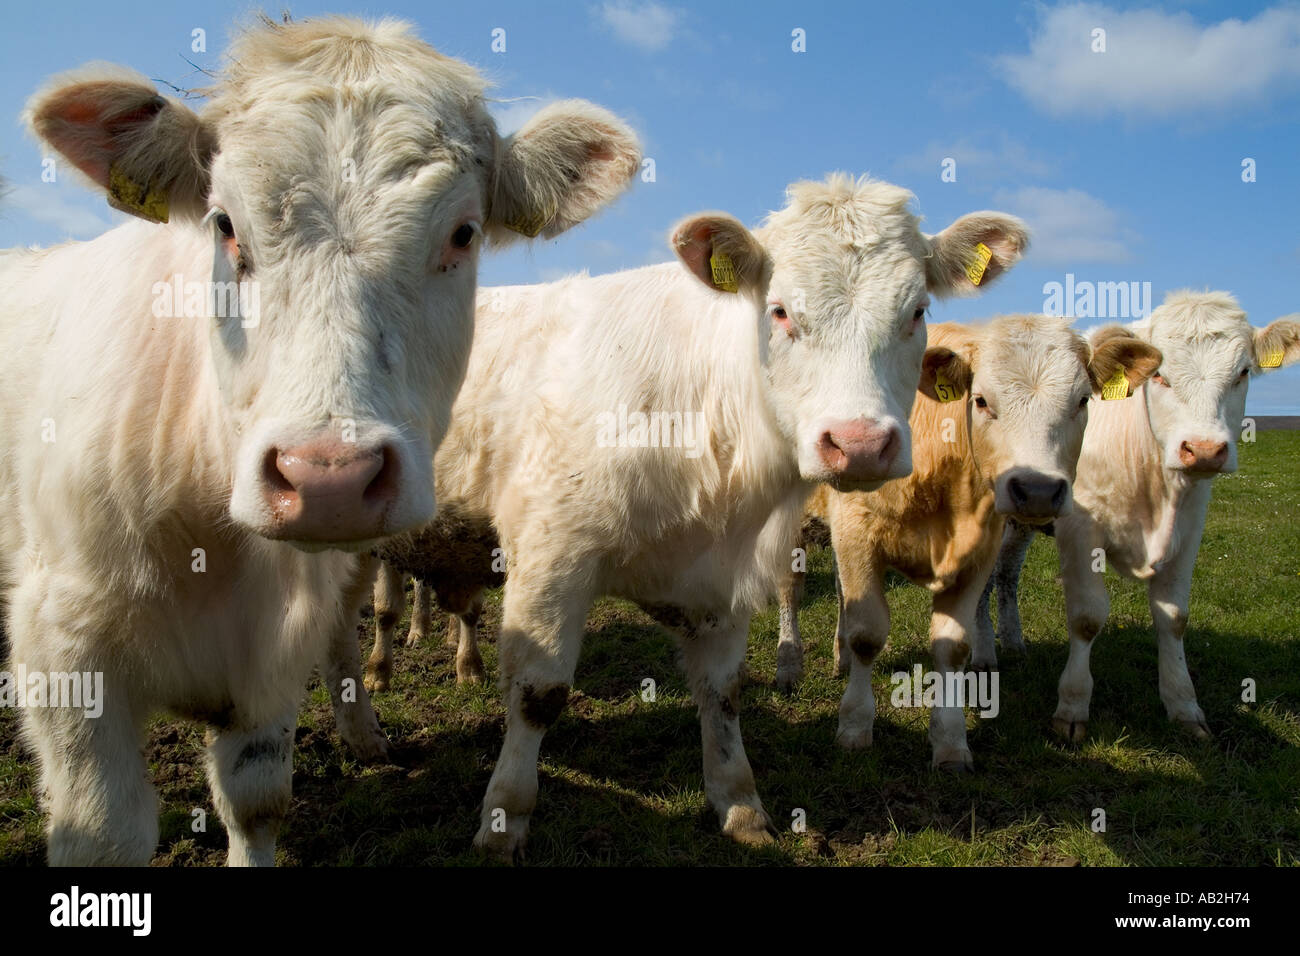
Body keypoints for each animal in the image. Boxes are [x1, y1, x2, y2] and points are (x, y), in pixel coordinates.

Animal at [0, 14, 639, 868]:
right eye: (223, 224)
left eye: (463, 233)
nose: (329, 478)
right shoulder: (63, 647)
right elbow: (105, 835)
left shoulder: (276, 650)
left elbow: (256, 799)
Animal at [340, 174, 1029, 858]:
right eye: (780, 311)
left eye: (917, 312)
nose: (859, 443)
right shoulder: (551, 555)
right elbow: (538, 694)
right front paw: (503, 822)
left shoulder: (722, 579)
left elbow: (723, 694)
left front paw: (740, 803)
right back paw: (366, 721)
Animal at [977, 291, 1294, 738]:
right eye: (1159, 375)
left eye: (1243, 372)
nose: (1204, 449)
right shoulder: (1081, 530)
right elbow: (1087, 616)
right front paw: (1072, 707)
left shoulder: (1190, 528)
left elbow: (1174, 617)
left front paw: (1184, 706)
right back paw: (983, 652)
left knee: (1006, 573)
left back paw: (1013, 642)